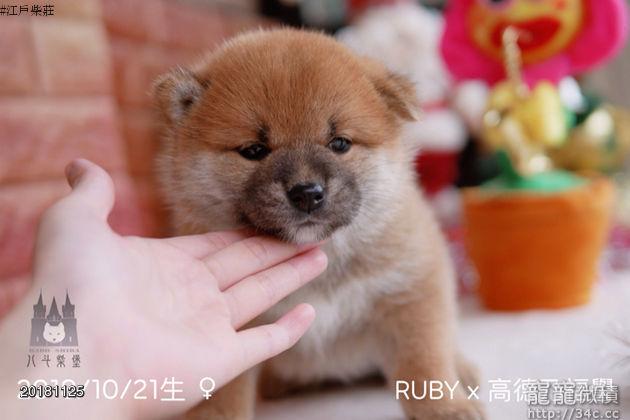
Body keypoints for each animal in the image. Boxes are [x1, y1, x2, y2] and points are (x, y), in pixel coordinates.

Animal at [153, 28, 484, 420]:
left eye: (339, 143)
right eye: (254, 151)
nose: (307, 193)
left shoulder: (412, 288)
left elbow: (424, 359)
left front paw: (445, 407)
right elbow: (222, 394)